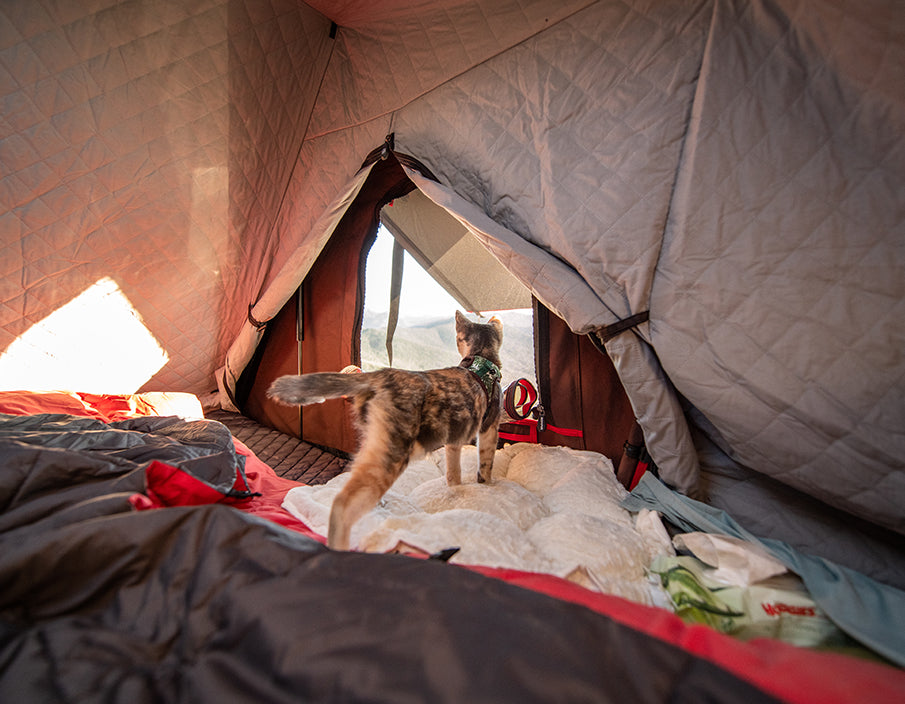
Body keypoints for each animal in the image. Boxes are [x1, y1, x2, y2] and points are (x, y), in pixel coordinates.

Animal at [268, 312, 502, 552]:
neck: (480, 359)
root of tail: (380, 375)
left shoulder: (454, 437)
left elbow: (453, 472)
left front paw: (455, 490)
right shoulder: (490, 427)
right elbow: (486, 463)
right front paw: (487, 484)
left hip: (373, 444)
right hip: (393, 453)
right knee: (342, 504)